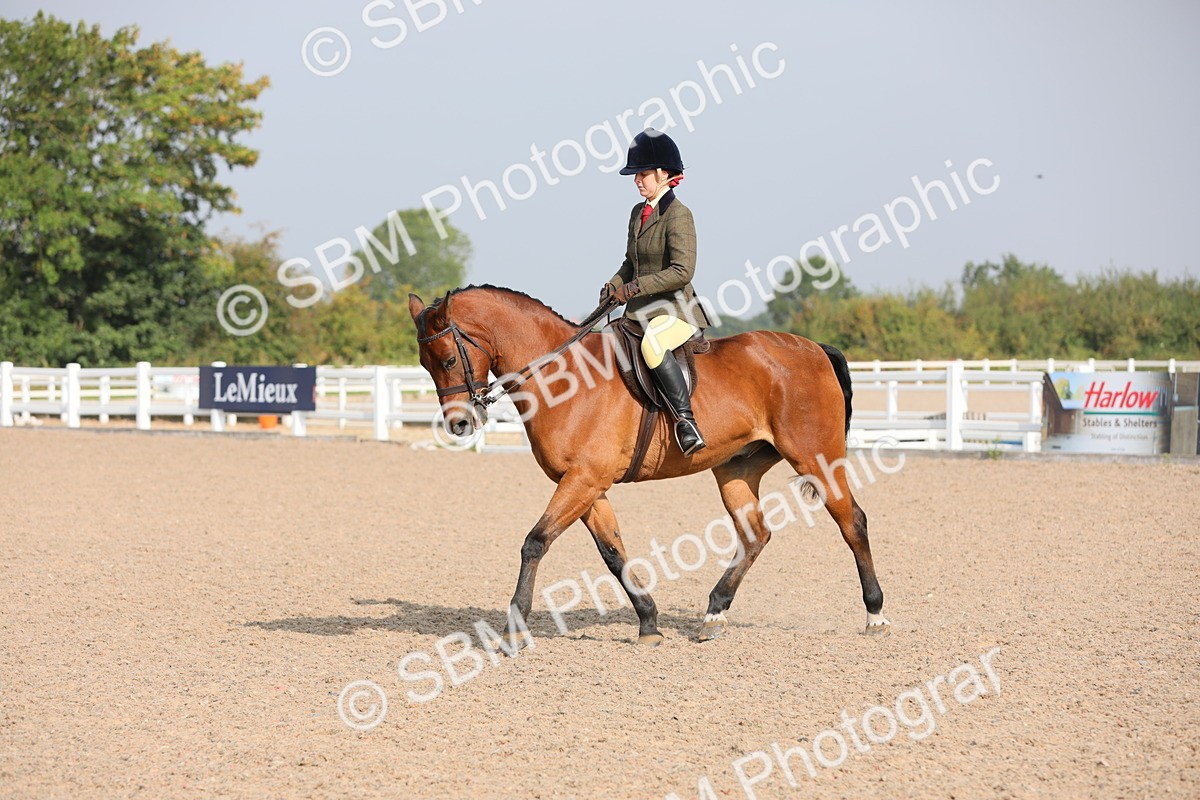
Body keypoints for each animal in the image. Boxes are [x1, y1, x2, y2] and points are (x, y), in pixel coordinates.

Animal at [408, 285, 888, 647]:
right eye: (424, 365)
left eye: (449, 359)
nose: (459, 424)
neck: (563, 377)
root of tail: (813, 348)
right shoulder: (586, 484)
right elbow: (612, 553)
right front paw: (649, 623)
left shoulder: (583, 479)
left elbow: (535, 542)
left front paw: (515, 627)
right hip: (736, 469)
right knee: (755, 534)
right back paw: (713, 615)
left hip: (816, 457)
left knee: (853, 521)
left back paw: (875, 614)